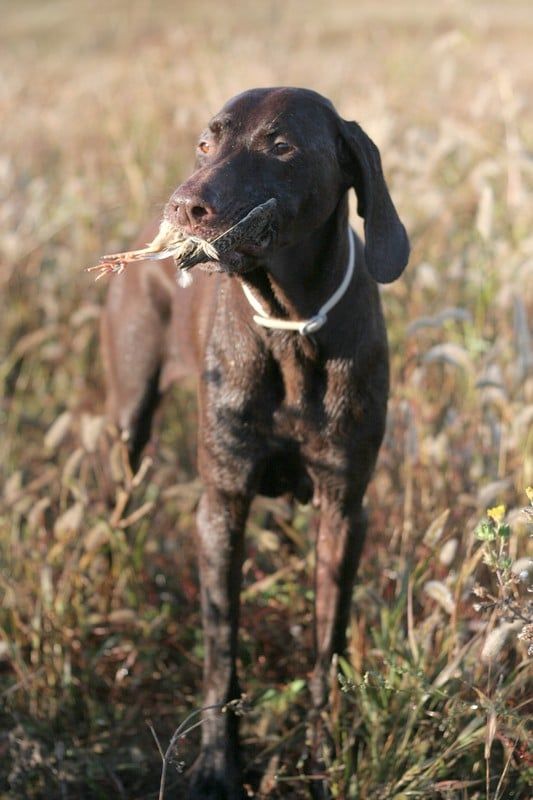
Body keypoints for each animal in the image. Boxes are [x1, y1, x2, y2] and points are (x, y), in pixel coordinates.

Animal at [98, 84, 408, 796]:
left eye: (282, 146)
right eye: (205, 142)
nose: (184, 207)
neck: (292, 328)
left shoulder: (343, 509)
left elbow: (326, 650)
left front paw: (323, 760)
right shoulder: (221, 505)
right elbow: (221, 651)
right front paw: (217, 766)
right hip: (129, 420)